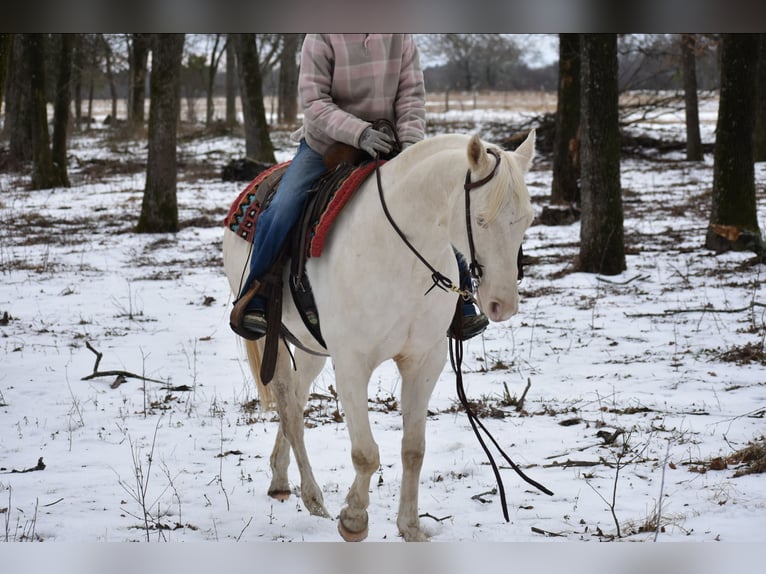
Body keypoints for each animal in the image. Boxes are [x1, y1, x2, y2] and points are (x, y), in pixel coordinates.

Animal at [222, 130, 536, 541]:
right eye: (480, 220)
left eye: (527, 220)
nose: (504, 305)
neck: (400, 253)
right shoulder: (352, 364)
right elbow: (365, 453)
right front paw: (354, 519)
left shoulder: (425, 362)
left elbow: (413, 450)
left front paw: (411, 528)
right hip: (273, 337)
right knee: (291, 412)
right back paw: (313, 497)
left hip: (311, 350)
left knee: (296, 403)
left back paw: (281, 480)